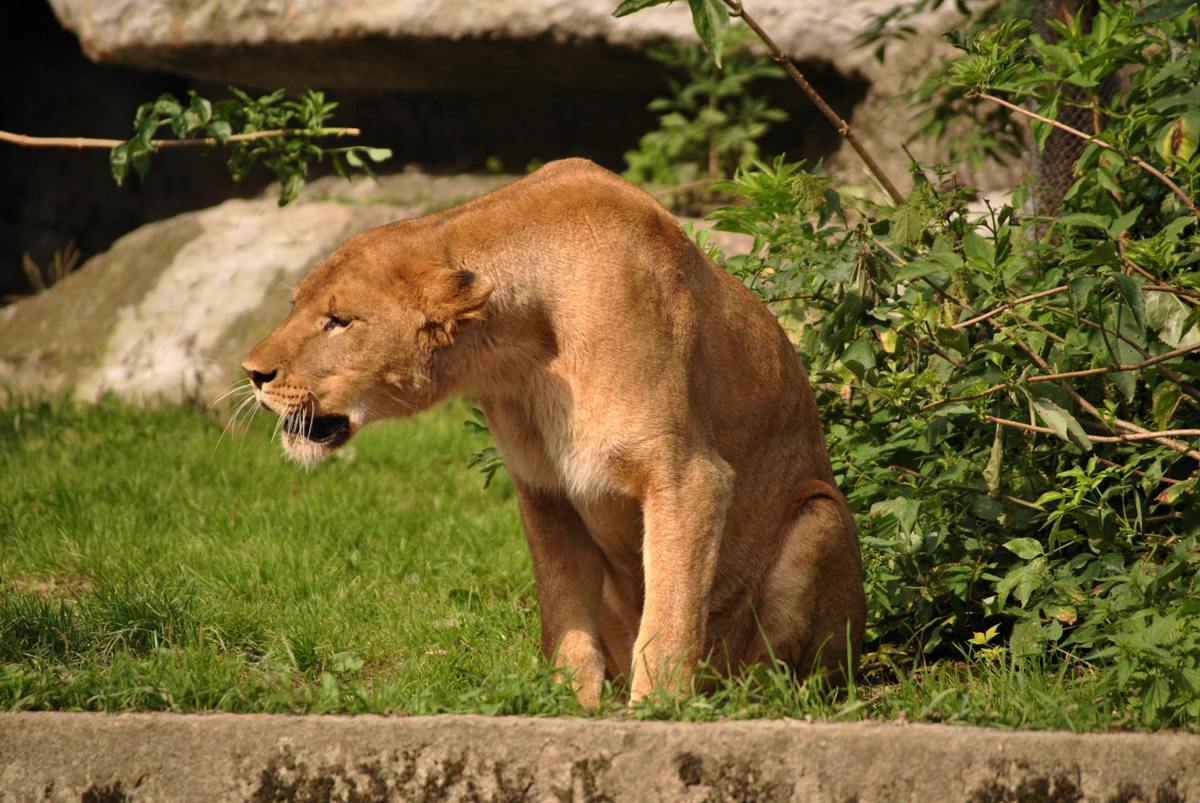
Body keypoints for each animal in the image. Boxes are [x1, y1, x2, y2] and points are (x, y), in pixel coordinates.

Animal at [243, 158, 866, 706]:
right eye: (294, 304)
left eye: (340, 321)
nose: (252, 373)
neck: (521, 352)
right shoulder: (544, 488)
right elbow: (564, 612)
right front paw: (573, 704)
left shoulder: (688, 476)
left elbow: (670, 612)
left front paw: (657, 710)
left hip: (821, 515)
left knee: (779, 678)